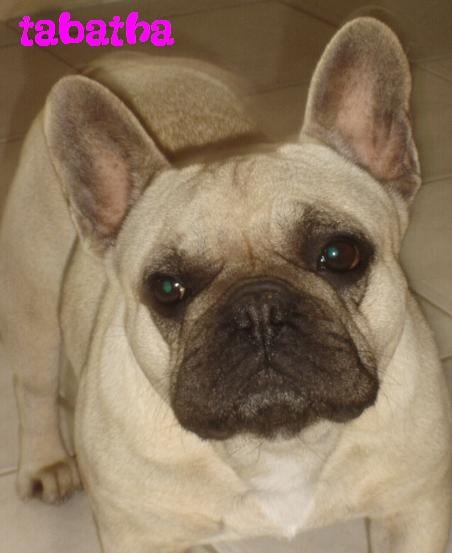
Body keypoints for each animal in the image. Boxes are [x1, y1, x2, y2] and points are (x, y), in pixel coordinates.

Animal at [0, 17, 450, 553]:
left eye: (340, 255)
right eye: (166, 288)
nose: (258, 309)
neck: (279, 443)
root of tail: (116, 60)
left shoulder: (413, 510)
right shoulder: (140, 534)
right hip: (33, 303)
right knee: (34, 386)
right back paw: (45, 462)